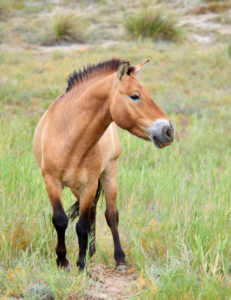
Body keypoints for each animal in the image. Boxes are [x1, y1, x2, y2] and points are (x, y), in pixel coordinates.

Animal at [32, 58, 173, 272]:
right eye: (135, 96)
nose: (169, 131)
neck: (69, 137)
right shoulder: (52, 181)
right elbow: (60, 220)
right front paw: (63, 262)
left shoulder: (89, 185)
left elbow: (81, 225)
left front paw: (81, 265)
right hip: (75, 188)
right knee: (92, 212)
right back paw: (91, 252)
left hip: (109, 173)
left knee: (111, 215)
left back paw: (119, 260)